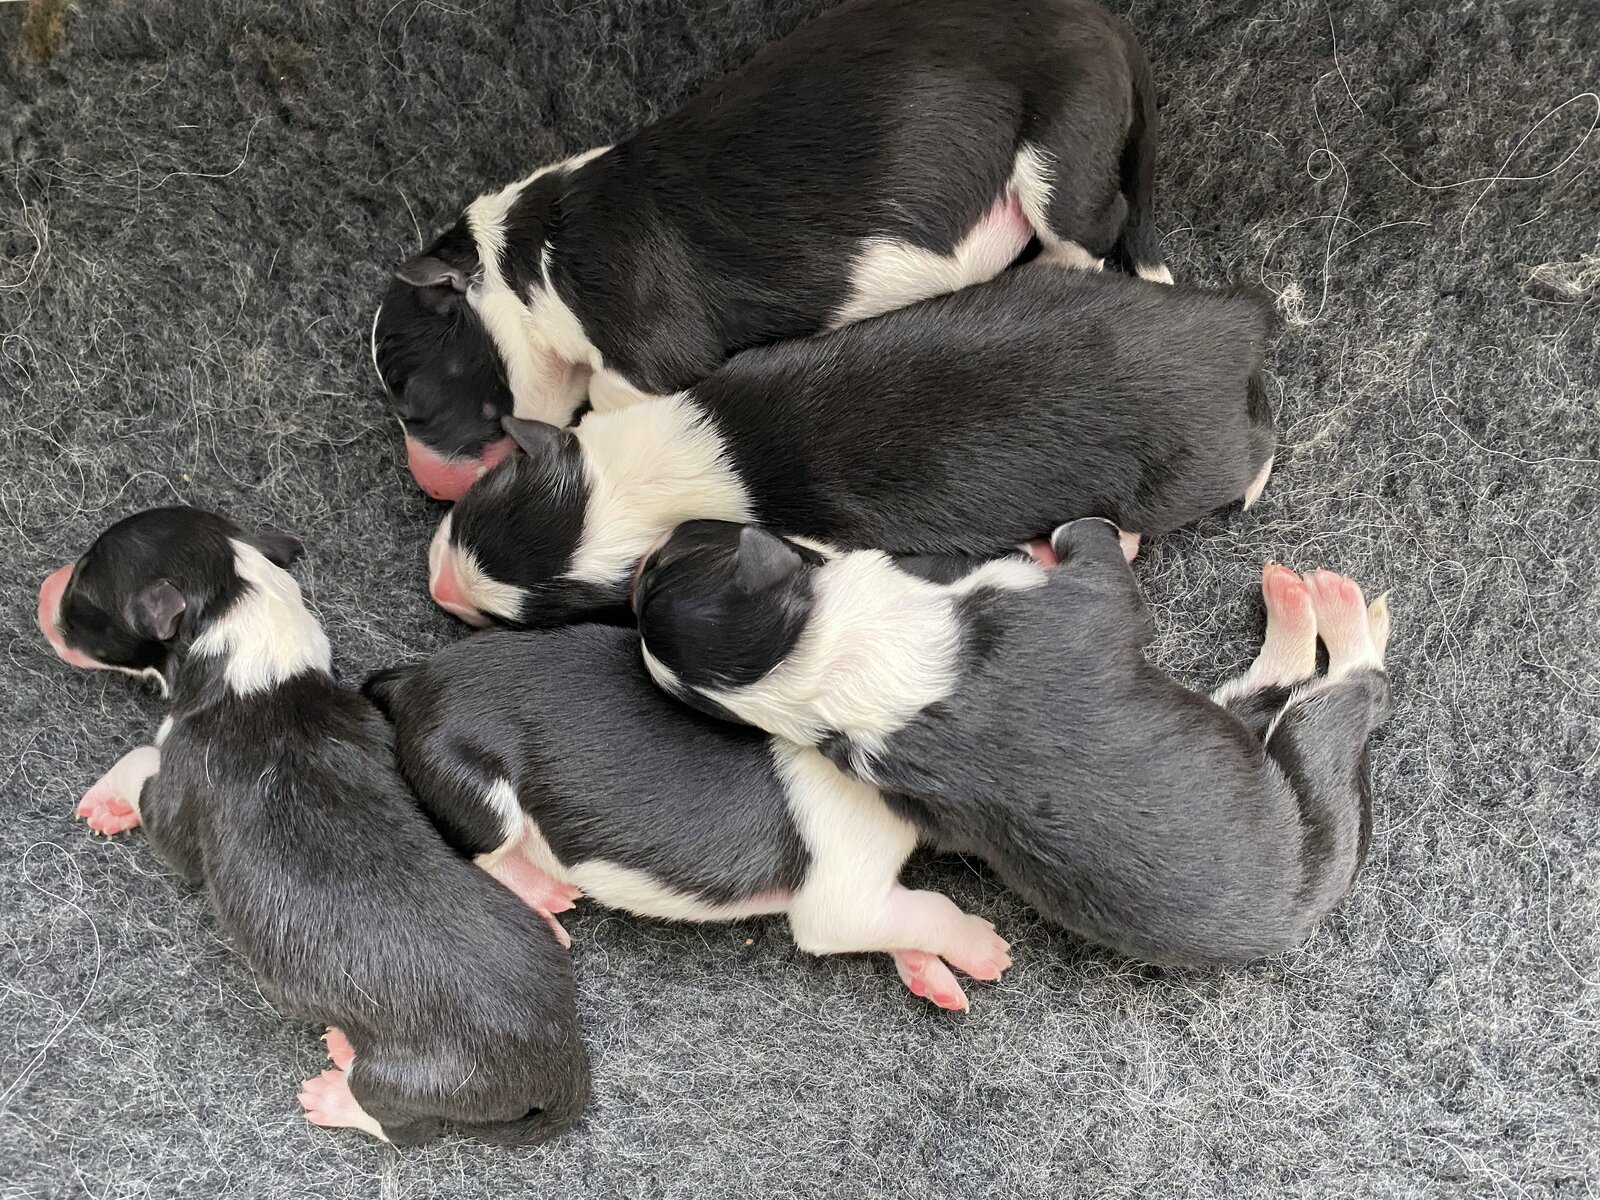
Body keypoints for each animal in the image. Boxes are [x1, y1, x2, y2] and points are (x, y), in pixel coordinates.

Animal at [36, 507, 589, 1144]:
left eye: (83, 586)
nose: (42, 588)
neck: (249, 635)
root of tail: (562, 1063)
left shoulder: (180, 794)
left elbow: (144, 768)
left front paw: (107, 801)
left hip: (418, 1077)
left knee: (400, 1124)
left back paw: (335, 1096)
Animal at [362, 620, 1012, 1013]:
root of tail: (412, 682)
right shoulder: (837, 899)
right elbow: (927, 907)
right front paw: (988, 950)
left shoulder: (867, 896)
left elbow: (903, 914)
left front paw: (934, 980)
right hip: (479, 787)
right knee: (484, 855)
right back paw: (548, 901)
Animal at [372, 0, 1167, 498]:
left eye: (408, 398)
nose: (429, 487)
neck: (523, 267)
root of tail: (1107, 24)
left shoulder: (647, 352)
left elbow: (608, 393)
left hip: (1057, 151)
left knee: (1093, 228)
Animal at [426, 266, 1273, 628]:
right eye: (475, 506)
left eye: (532, 613)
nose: (440, 590)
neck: (658, 469)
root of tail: (1229, 324)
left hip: (1183, 468)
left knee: (1250, 448)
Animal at [631, 518, 1394, 967]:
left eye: (665, 561)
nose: (646, 547)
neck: (813, 668)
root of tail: (1285, 926)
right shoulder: (1087, 601)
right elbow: (1095, 552)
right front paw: (1099, 532)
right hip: (1316, 778)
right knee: (1351, 694)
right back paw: (1333, 609)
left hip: (1232, 722)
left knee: (1264, 688)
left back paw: (1291, 607)